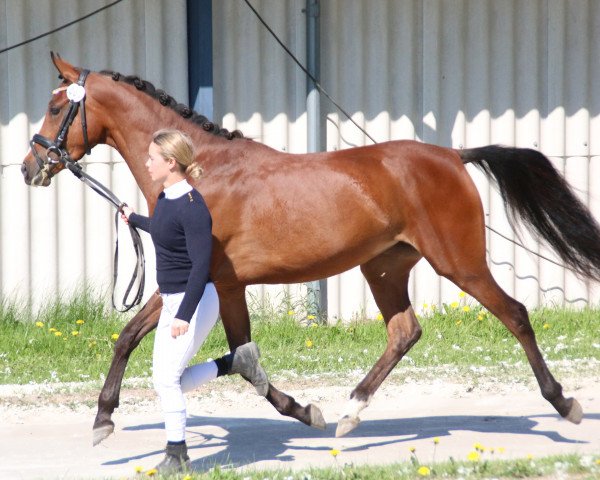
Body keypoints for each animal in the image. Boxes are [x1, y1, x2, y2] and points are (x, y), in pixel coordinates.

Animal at [21, 54, 596, 444]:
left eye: (53, 107)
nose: (30, 168)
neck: (200, 172)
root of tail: (453, 155)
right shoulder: (214, 284)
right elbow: (214, 352)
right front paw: (103, 417)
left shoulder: (203, 280)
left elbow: (204, 351)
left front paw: (103, 416)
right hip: (383, 268)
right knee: (404, 331)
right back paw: (351, 412)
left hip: (460, 263)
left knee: (515, 314)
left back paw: (563, 403)